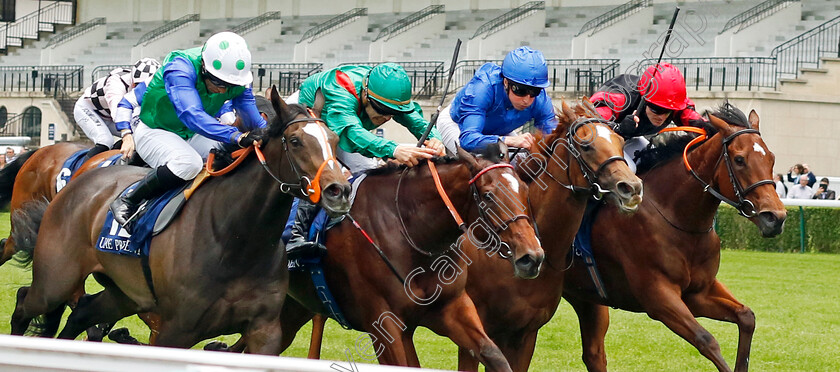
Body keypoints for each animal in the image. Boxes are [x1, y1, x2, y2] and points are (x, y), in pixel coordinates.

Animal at [10, 86, 352, 352]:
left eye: (334, 140)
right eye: (295, 141)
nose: (340, 191)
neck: (238, 240)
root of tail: (76, 183)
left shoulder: (264, 330)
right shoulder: (176, 330)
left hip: (124, 294)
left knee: (82, 312)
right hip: (56, 280)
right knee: (26, 300)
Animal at [272, 142, 540, 370]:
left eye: (525, 190)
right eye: (488, 195)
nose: (532, 257)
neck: (412, 232)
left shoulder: (452, 307)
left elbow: (494, 355)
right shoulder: (383, 323)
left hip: (294, 307)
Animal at [564, 104, 788, 372]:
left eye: (771, 158)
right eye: (740, 159)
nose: (776, 217)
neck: (678, 220)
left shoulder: (699, 292)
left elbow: (747, 317)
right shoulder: (658, 296)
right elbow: (707, 340)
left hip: (585, 297)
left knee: (594, 354)